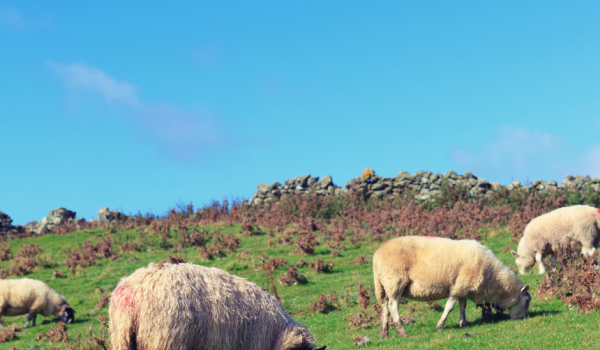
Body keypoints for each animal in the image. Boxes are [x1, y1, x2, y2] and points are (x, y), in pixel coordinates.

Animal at [376, 237, 528, 338]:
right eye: (527, 301)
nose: (523, 318)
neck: (492, 276)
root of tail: (377, 254)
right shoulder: (458, 287)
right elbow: (449, 307)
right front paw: (440, 326)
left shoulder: (464, 288)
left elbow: (462, 307)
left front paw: (464, 324)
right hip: (395, 281)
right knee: (393, 306)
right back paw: (402, 332)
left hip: (384, 285)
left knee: (385, 307)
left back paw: (384, 334)